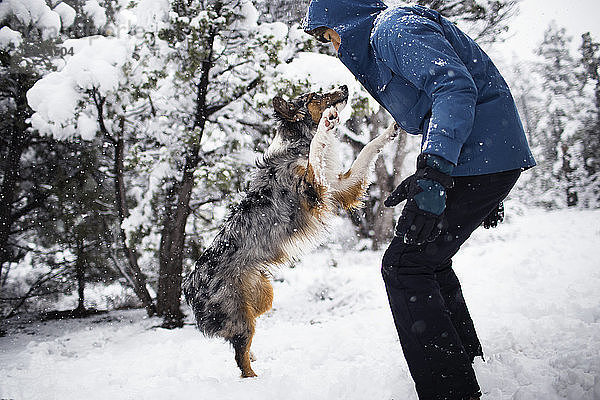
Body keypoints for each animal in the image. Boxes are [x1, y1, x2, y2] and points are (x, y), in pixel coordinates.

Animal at [183, 85, 398, 378]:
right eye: (315, 97)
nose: (344, 87)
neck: (297, 144)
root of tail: (189, 284)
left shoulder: (338, 188)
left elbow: (367, 148)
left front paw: (391, 130)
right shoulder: (311, 189)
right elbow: (318, 147)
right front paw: (326, 123)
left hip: (263, 295)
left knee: (243, 340)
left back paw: (255, 354)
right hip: (236, 312)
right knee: (241, 358)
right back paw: (254, 379)